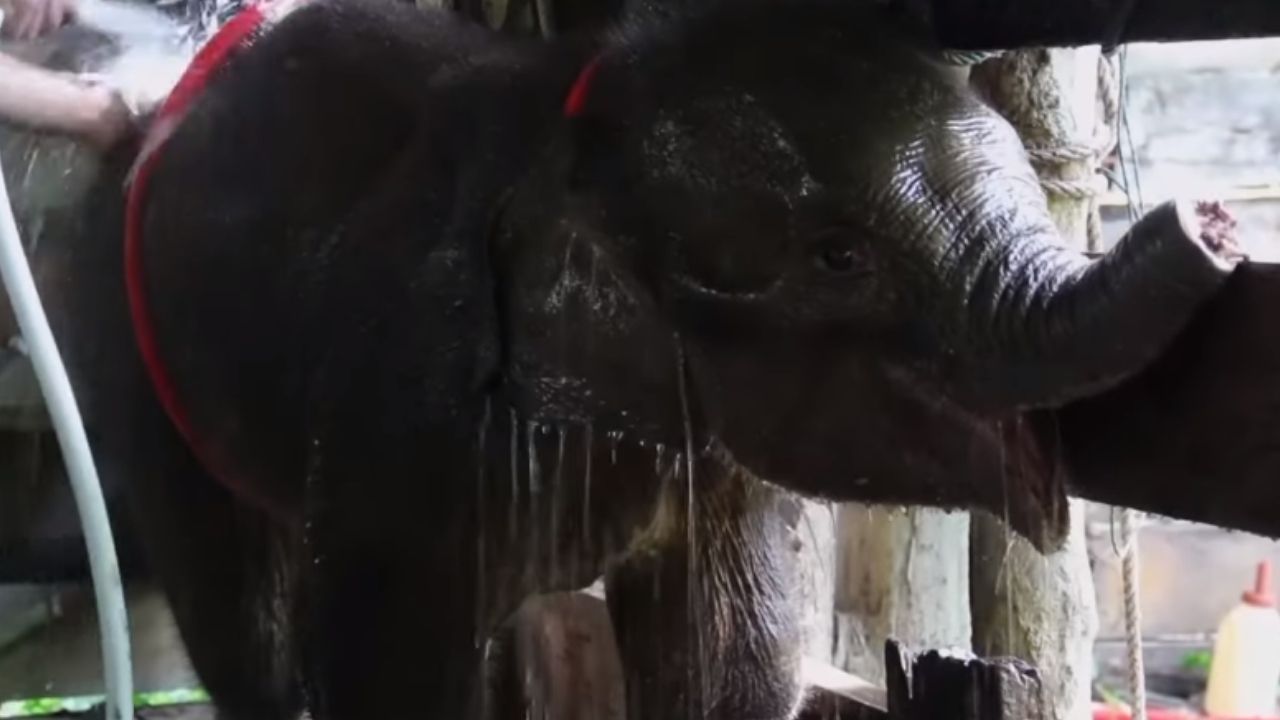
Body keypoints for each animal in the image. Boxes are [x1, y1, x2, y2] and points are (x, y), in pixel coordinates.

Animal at [5, 0, 1280, 718]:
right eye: (839, 258)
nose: (1215, 217)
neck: (570, 124)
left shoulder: (713, 461)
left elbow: (728, 654)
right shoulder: (405, 405)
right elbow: (383, 664)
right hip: (122, 341)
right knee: (241, 622)